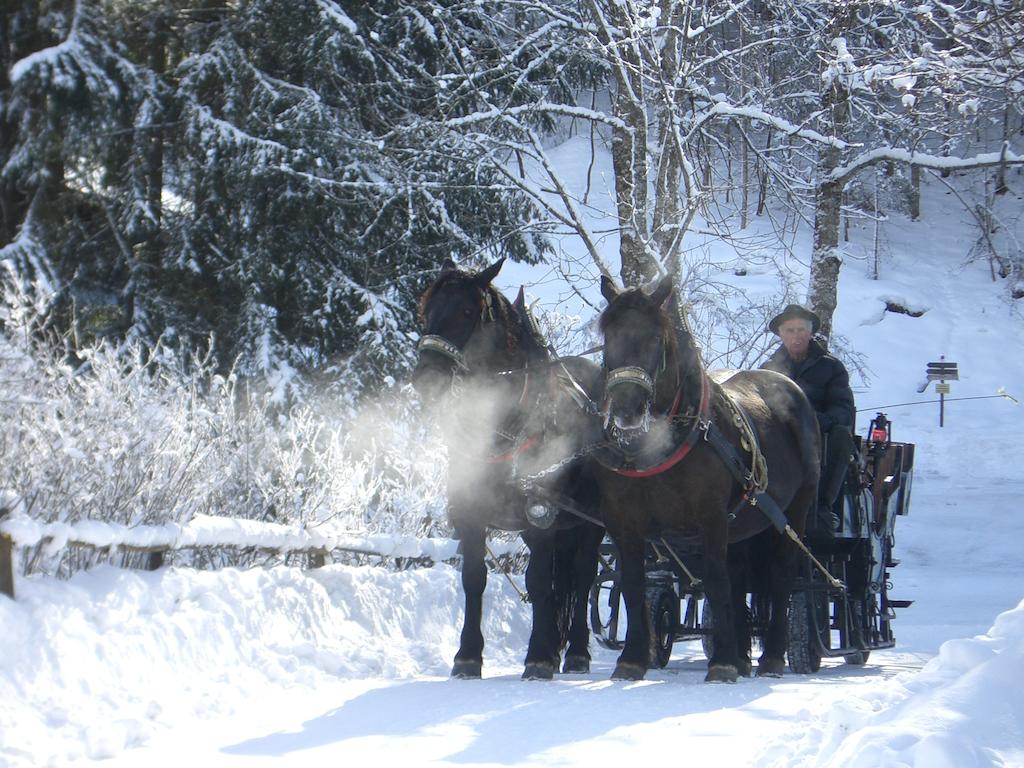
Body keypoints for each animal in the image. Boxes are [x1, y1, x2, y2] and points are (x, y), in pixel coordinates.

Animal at [411, 262, 602, 684]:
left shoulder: (540, 516)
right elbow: (474, 579)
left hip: (590, 524)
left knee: (583, 578)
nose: (427, 378)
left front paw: (539, 658)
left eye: (467, 311)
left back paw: (576, 652)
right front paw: (467, 657)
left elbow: (540, 582)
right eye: (425, 310)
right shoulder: (469, 515)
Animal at [593, 274, 815, 684]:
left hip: (794, 514)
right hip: (744, 524)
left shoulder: (711, 519)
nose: (627, 410)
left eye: (655, 338)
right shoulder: (624, 522)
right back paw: (743, 655)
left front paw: (722, 663)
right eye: (608, 337)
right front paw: (632, 659)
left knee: (780, 577)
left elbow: (715, 581)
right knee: (740, 577)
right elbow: (633, 584)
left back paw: (772, 657)